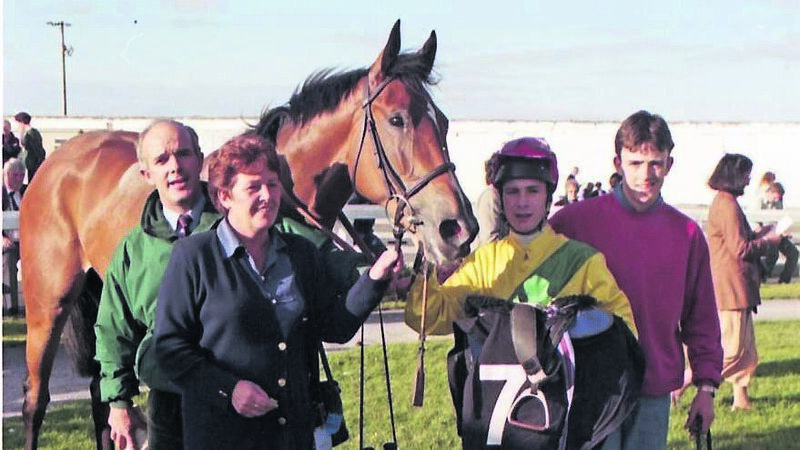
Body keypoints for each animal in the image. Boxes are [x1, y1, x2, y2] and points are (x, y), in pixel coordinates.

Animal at [19, 19, 478, 449]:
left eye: (443, 122)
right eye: (397, 119)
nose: (458, 228)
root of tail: (59, 161)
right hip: (48, 305)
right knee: (35, 400)